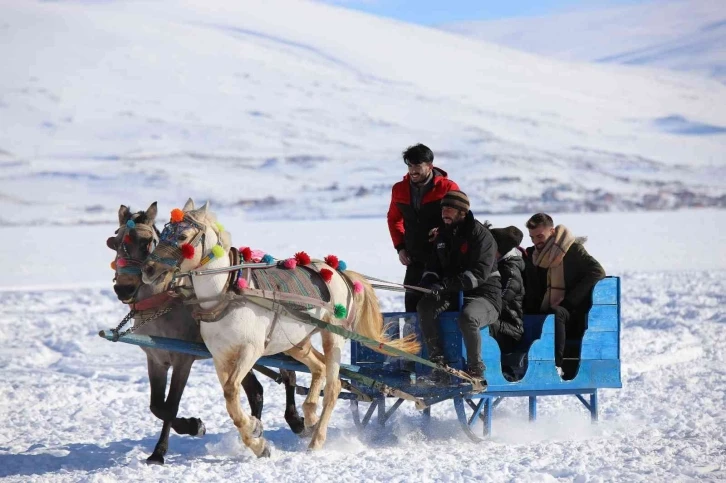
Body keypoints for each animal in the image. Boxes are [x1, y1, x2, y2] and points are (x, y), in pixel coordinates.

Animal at [141, 200, 420, 458]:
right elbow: (230, 397)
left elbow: (231, 391)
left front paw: (254, 435)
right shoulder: (220, 356)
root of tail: (339, 272)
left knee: (333, 387)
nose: (148, 270)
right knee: (319, 368)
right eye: (162, 233)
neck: (227, 291)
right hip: (296, 342)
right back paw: (309, 415)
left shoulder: (250, 350)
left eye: (182, 237)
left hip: (333, 336)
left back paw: (316, 439)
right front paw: (256, 436)